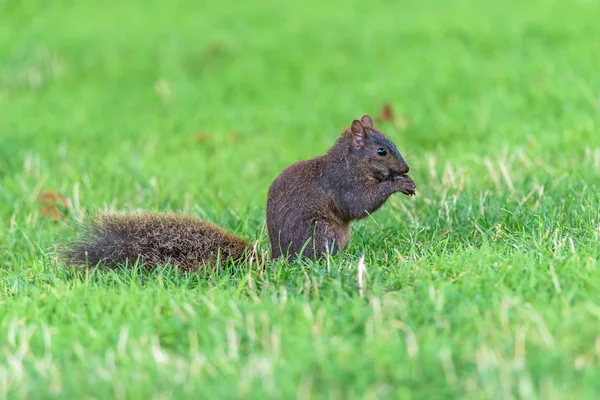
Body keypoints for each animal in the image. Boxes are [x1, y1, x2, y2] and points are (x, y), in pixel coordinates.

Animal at [62, 115, 418, 272]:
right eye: (382, 151)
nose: (406, 168)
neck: (350, 162)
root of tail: (279, 260)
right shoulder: (341, 183)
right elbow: (356, 205)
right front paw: (399, 184)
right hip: (323, 233)